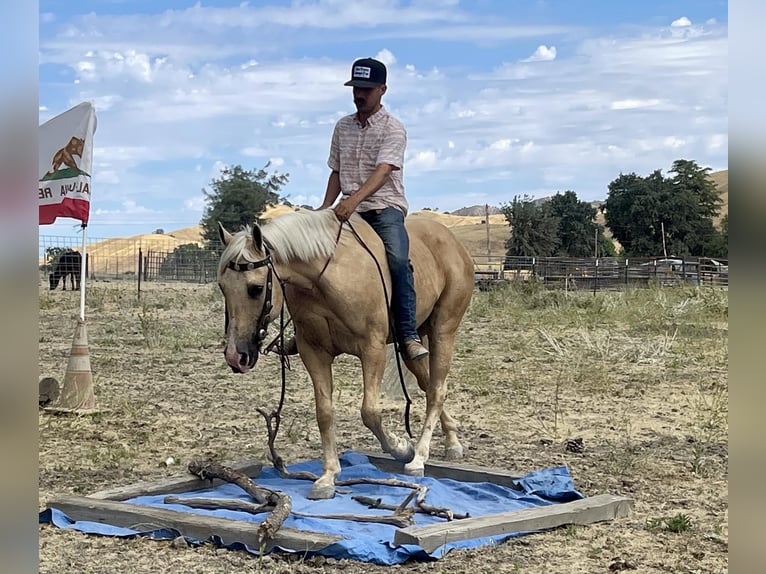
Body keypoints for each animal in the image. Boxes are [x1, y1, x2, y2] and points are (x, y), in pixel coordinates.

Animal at [216, 210, 476, 500]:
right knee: (429, 385)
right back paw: (452, 440)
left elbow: (370, 412)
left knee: (437, 390)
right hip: (412, 344)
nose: (235, 355)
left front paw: (400, 447)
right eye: (222, 287)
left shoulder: (372, 348)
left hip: (444, 329)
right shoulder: (313, 352)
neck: (326, 277)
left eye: (255, 288)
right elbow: (324, 412)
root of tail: (453, 242)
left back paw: (418, 456)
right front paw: (328, 476)